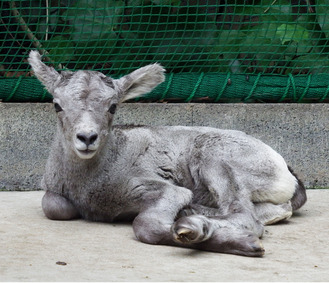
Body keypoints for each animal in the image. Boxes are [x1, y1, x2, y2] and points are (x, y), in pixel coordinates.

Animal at [28, 50, 304, 258]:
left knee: (246, 214)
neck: (89, 182)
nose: (86, 138)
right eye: (57, 105)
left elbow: (146, 226)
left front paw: (240, 243)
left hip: (214, 156)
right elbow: (54, 206)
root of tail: (287, 173)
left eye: (113, 106)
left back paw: (195, 222)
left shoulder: (157, 187)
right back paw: (192, 212)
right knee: (278, 209)